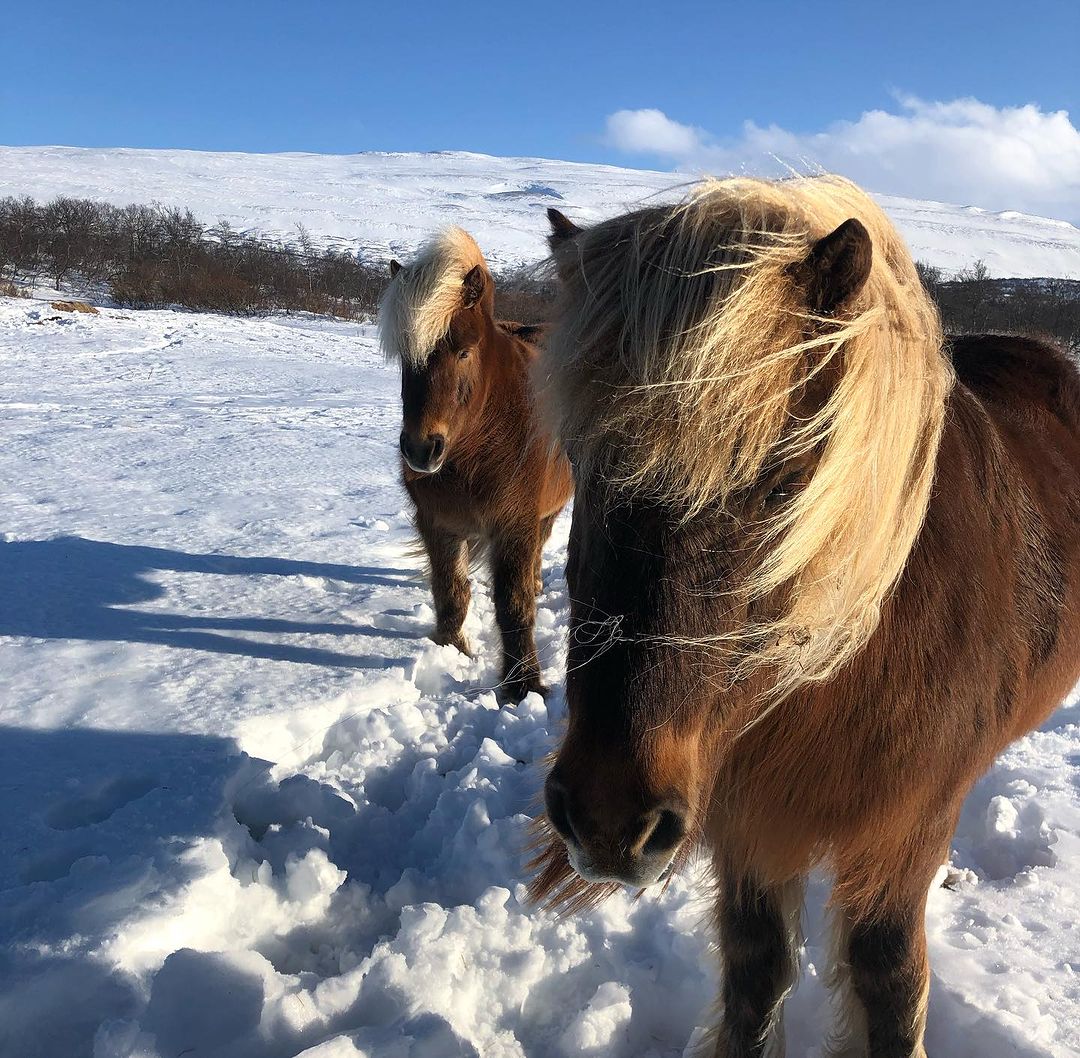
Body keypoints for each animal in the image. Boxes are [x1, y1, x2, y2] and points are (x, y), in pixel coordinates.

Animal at [379, 228, 572, 698]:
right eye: (405, 359)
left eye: (464, 352)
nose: (420, 450)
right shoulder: (439, 523)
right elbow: (451, 593)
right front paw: (453, 651)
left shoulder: (515, 523)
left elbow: (514, 605)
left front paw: (524, 687)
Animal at [529, 177, 1080, 1057]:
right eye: (582, 463)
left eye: (783, 482)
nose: (608, 818)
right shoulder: (752, 830)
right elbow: (756, 978)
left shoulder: (900, 837)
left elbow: (890, 987)